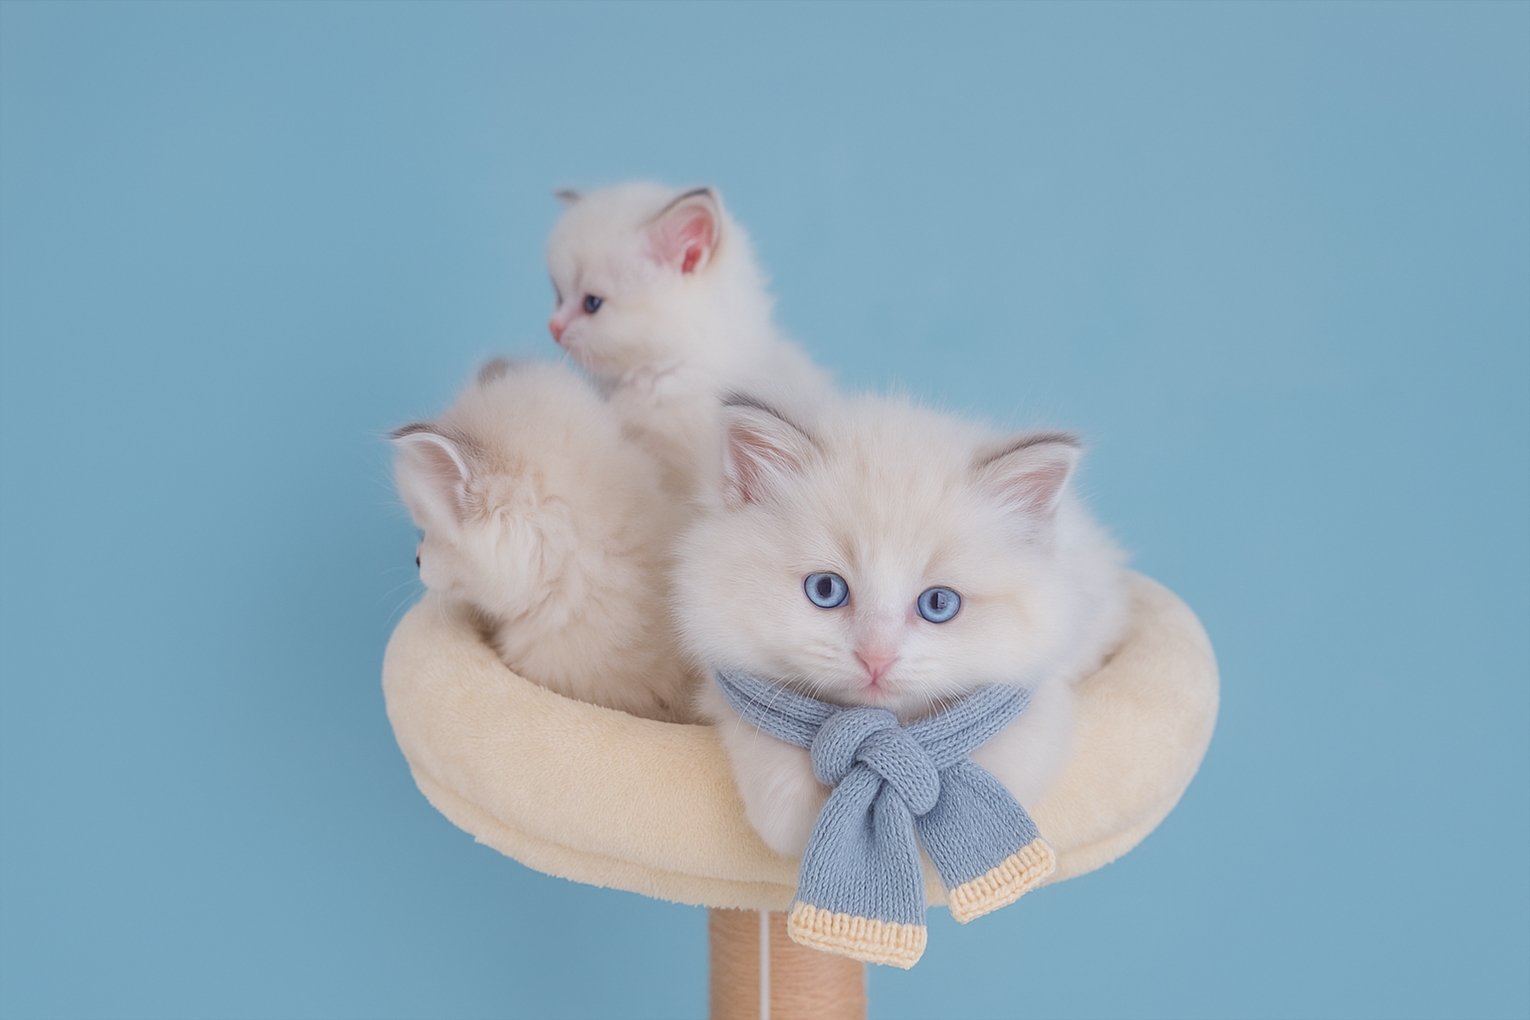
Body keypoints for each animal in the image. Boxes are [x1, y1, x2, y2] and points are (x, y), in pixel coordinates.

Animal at [674, 396, 1130, 857]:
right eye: (825, 589)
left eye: (939, 603)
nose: (876, 657)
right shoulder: (726, 675)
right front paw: (798, 823)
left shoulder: (1042, 683)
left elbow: (1012, 750)